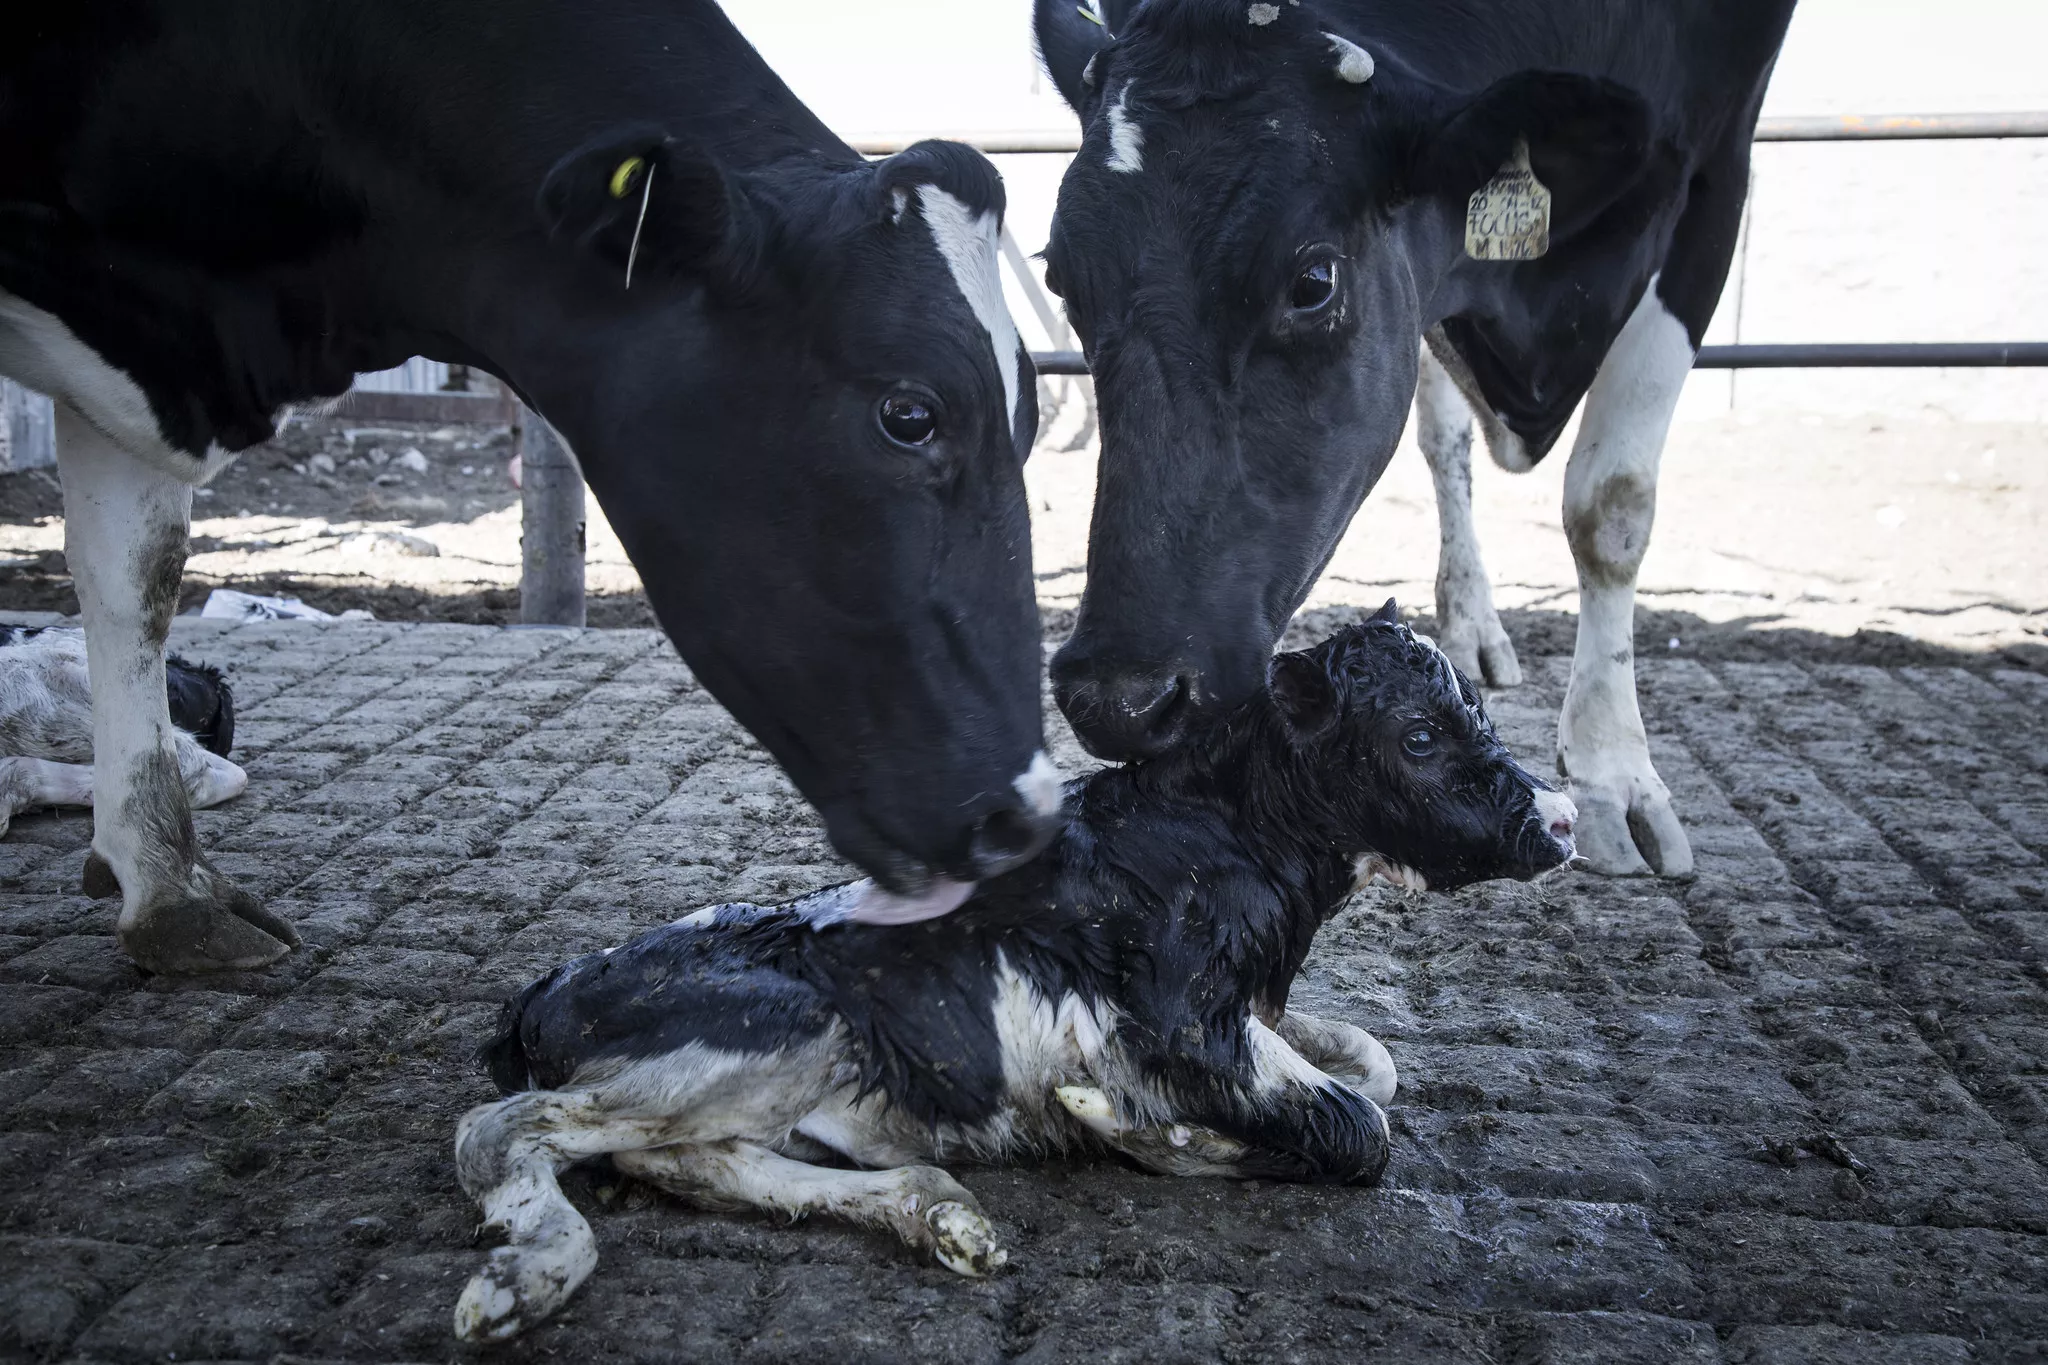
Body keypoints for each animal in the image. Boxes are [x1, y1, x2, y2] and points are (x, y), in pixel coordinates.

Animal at [456, 601, 1572, 1342]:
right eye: (1418, 735)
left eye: (1479, 708)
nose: (1560, 819)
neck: (1230, 837)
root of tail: (545, 987)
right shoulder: (1177, 1027)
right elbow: (1359, 1126)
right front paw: (1144, 1132)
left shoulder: (1249, 1010)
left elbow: (1373, 1063)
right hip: (776, 1027)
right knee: (500, 1132)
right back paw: (523, 1279)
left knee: (697, 1163)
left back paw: (943, 1216)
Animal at [1040, 0, 1794, 875]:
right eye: (1061, 279)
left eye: (1313, 282)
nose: (1119, 699)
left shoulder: (1715, 168)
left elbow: (1612, 505)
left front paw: (1614, 772)